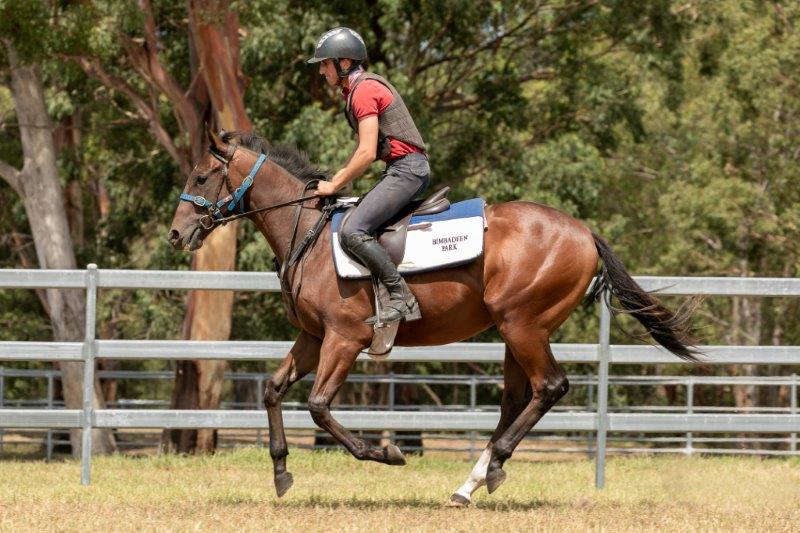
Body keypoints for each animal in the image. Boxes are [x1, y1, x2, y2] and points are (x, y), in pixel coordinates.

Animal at [166, 131, 696, 504]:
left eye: (200, 178)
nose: (176, 234)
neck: (308, 233)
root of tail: (584, 233)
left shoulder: (344, 338)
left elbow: (318, 406)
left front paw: (384, 453)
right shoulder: (313, 338)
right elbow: (274, 390)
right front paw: (280, 471)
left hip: (523, 325)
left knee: (549, 388)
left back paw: (491, 469)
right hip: (515, 332)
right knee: (516, 401)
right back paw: (471, 483)